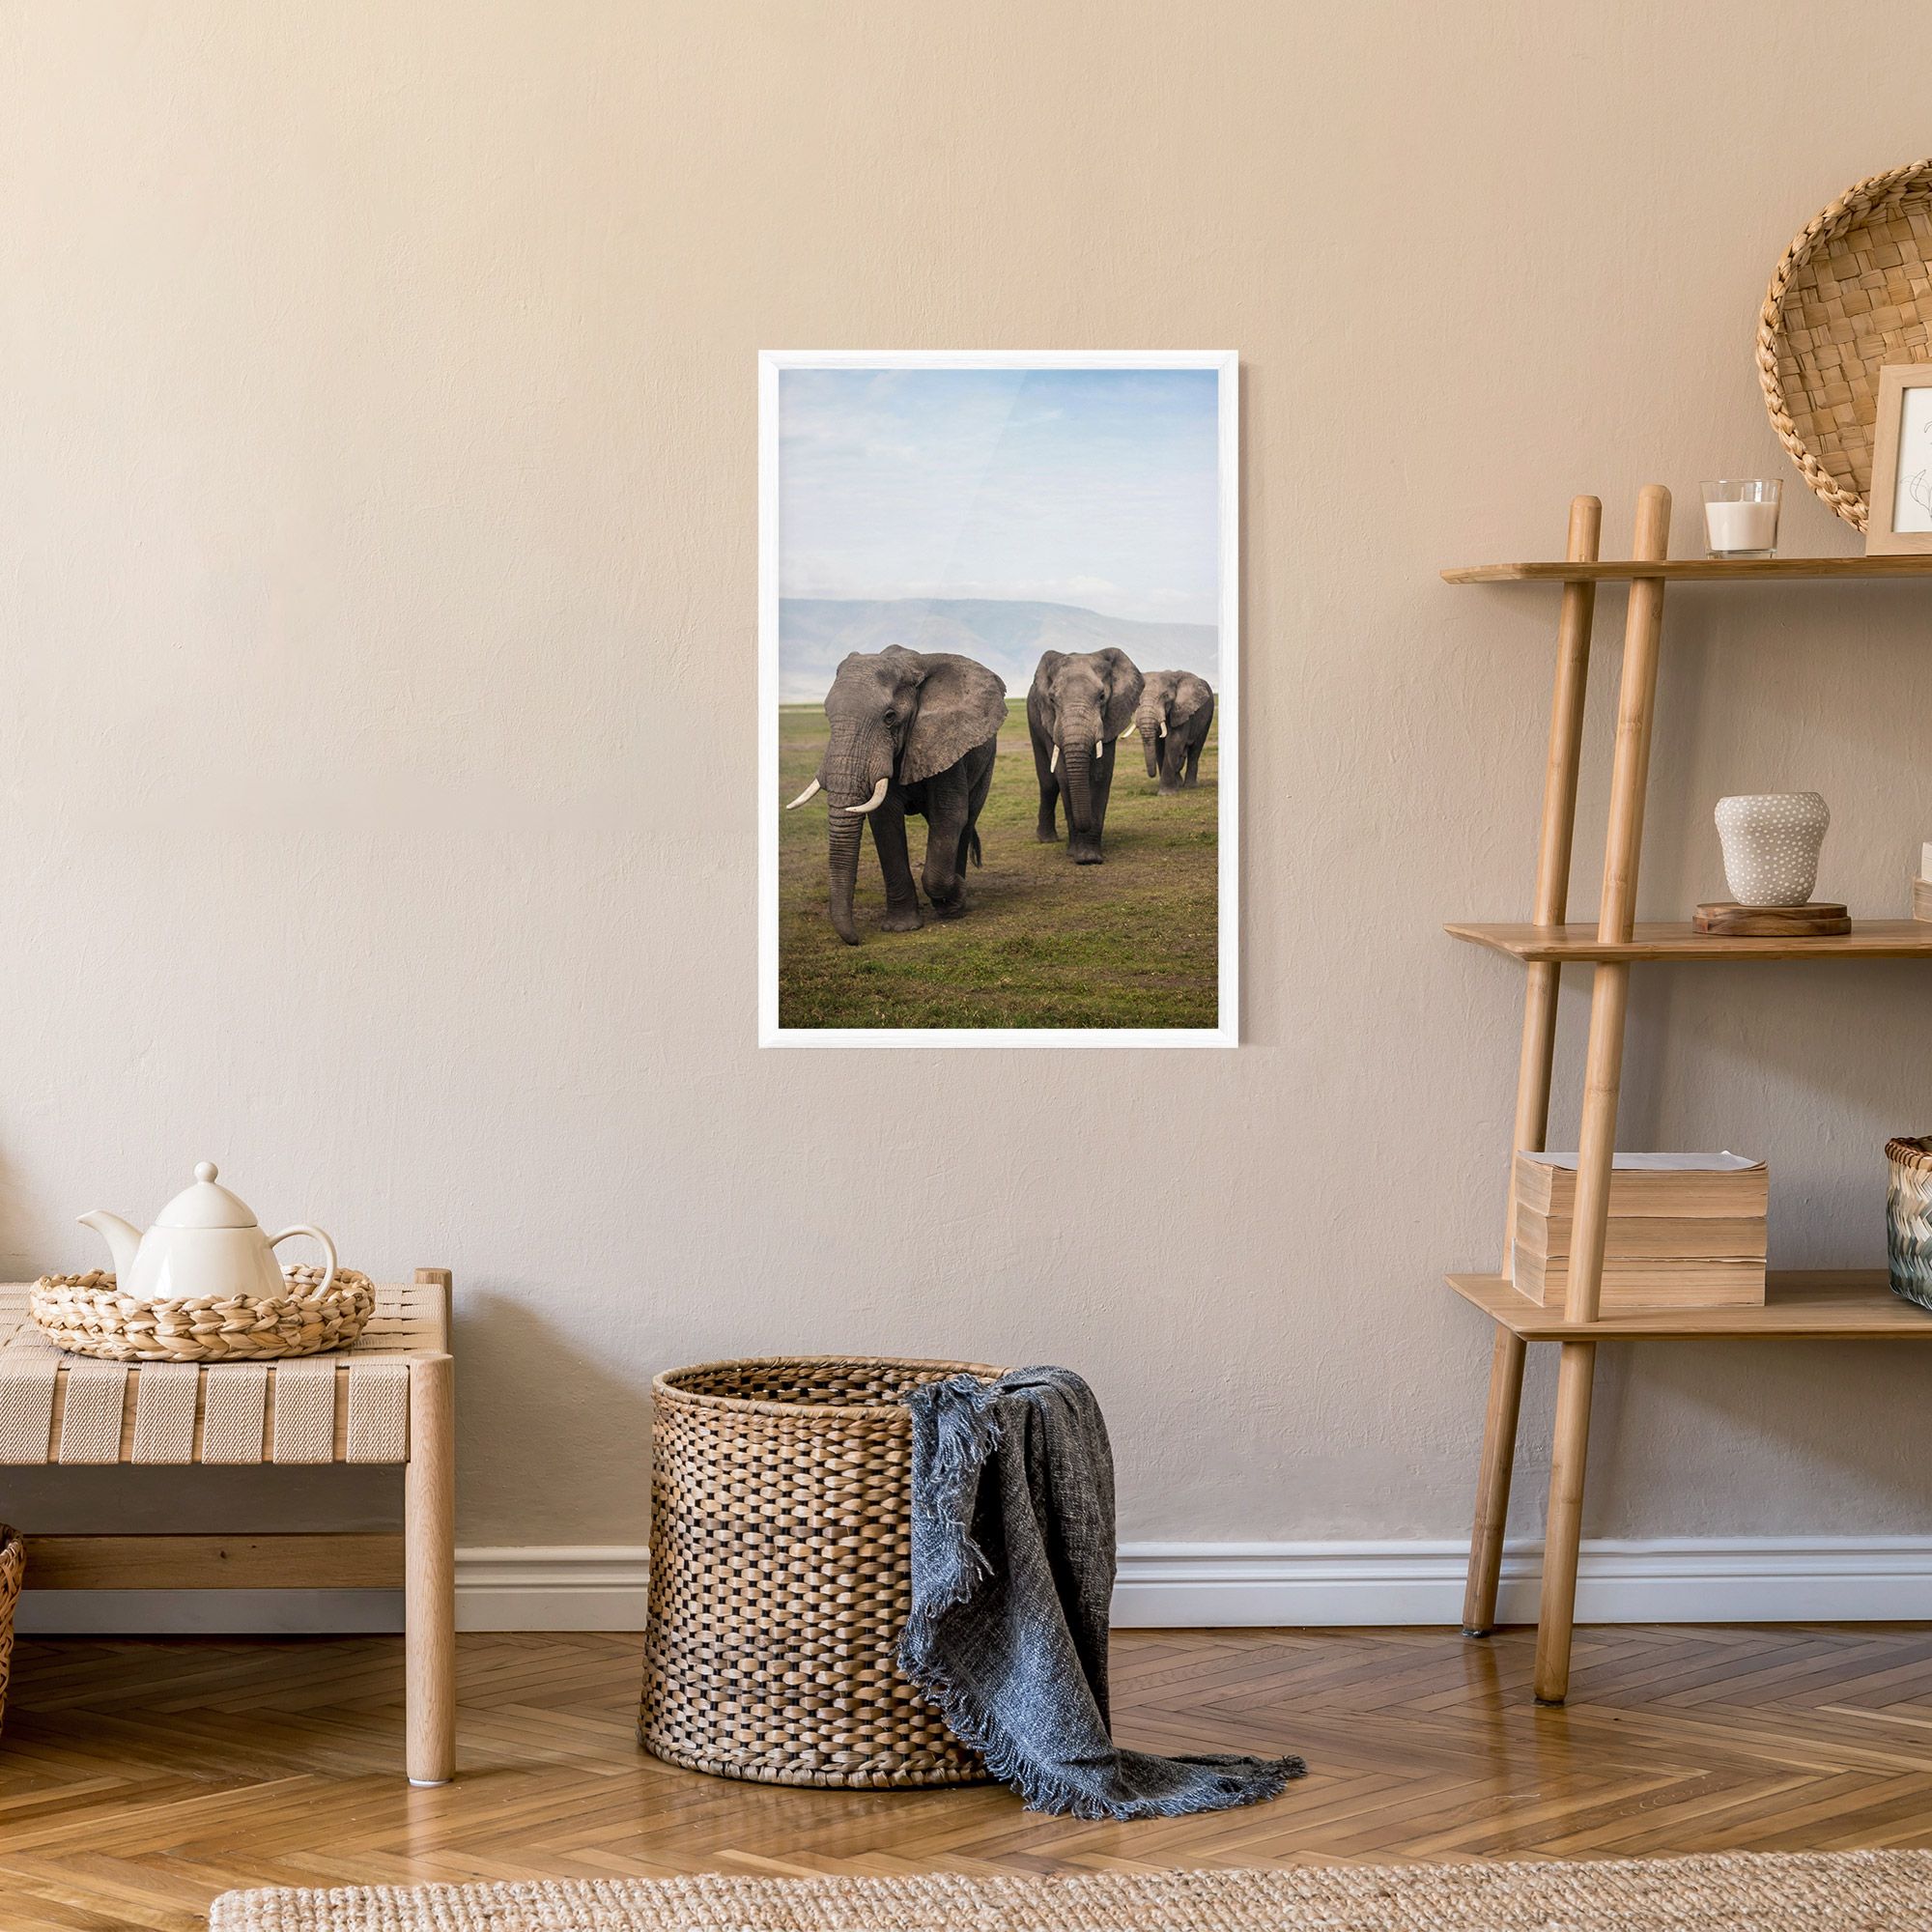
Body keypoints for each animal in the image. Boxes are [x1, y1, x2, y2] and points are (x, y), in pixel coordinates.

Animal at [786, 645, 1007, 945]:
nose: (856, 939)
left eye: (889, 717)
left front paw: (956, 898)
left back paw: (955, 902)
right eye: (827, 715)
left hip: (987, 762)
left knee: (967, 819)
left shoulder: (944, 740)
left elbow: (949, 815)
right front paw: (901, 927)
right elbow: (885, 821)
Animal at [1027, 646, 1143, 864]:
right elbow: (1064, 776)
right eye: (1052, 699)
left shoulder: (1111, 717)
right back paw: (1047, 840)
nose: (1085, 825)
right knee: (1048, 782)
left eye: (1102, 696)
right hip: (1033, 719)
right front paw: (1077, 855)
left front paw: (1090, 857)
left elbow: (1100, 775)